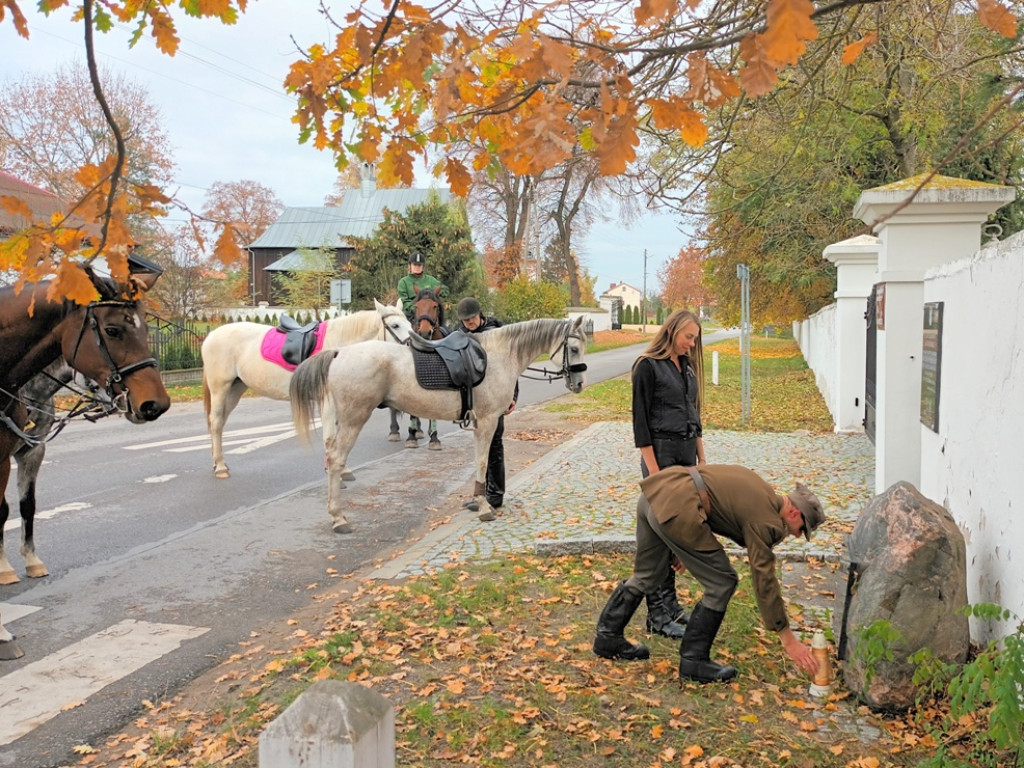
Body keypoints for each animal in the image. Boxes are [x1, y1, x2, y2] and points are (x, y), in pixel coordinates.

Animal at [0, 266, 172, 663]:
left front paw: (30, 562)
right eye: (113, 330)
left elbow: (25, 507)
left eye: (145, 328)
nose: (155, 405)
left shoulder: (26, 452)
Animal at [199, 303, 411, 479]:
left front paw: (341, 468)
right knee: (216, 422)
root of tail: (211, 335)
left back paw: (218, 461)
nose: (412, 346)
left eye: (409, 323)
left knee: (220, 423)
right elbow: (331, 438)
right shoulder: (327, 402)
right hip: (220, 388)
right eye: (395, 325)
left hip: (235, 389)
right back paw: (220, 467)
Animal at [292, 315, 589, 532]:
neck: (497, 356)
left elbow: (481, 461)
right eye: (574, 349)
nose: (579, 384)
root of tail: (339, 353)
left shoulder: (480, 423)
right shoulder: (489, 420)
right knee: (336, 460)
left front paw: (478, 501)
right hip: (354, 419)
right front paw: (484, 507)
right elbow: (483, 462)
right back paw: (338, 517)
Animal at [387, 290, 444, 450]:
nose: (424, 332)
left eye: (435, 306)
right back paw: (396, 432)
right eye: (416, 306)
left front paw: (434, 438)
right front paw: (411, 437)